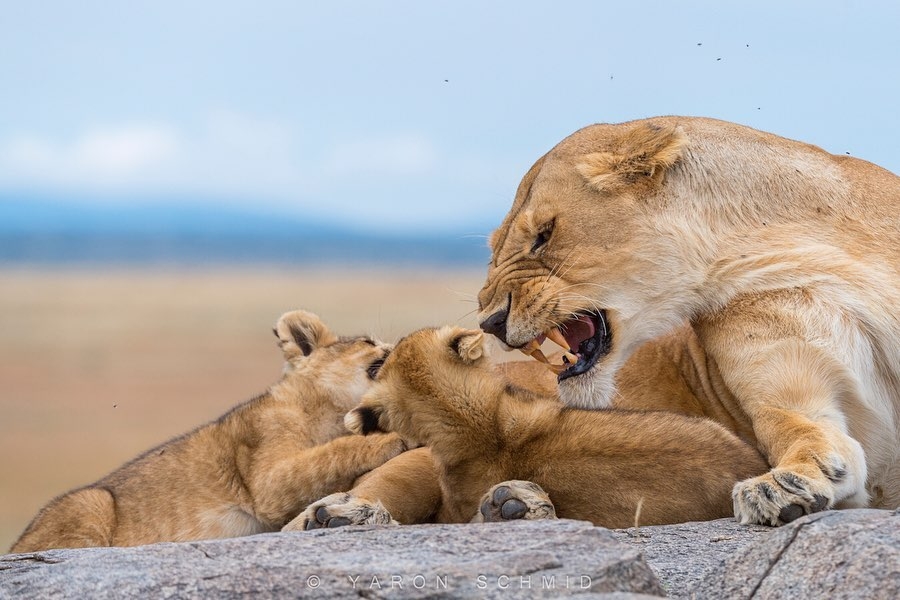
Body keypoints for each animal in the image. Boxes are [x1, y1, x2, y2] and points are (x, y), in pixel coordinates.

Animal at [474, 116, 896, 524]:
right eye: (493, 249)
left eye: (544, 235)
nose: (489, 322)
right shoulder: (784, 392)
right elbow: (808, 433)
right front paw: (782, 488)